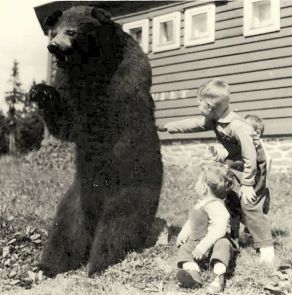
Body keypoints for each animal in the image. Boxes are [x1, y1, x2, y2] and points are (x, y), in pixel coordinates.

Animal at [30, 6, 163, 278]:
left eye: (72, 31)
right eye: (54, 32)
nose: (53, 47)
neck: (90, 65)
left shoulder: (126, 72)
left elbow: (110, 108)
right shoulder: (66, 81)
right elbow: (67, 123)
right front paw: (41, 92)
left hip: (131, 190)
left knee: (116, 229)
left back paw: (98, 265)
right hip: (76, 197)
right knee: (65, 230)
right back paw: (45, 266)